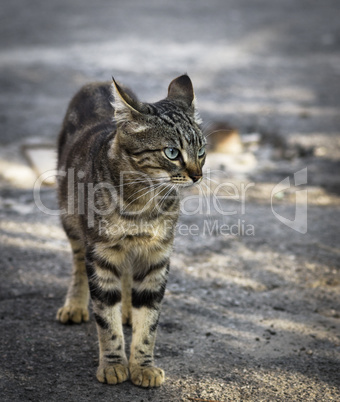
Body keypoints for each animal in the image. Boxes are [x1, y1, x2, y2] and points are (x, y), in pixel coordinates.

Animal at [56, 74, 205, 386]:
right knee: (78, 263)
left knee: (126, 275)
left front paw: (143, 366)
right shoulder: (101, 254)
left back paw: (127, 309)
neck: (143, 204)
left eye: (201, 152)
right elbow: (106, 319)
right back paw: (75, 305)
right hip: (72, 224)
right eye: (172, 153)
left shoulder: (156, 257)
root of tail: (98, 82)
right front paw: (113, 364)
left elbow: (148, 322)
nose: (197, 176)